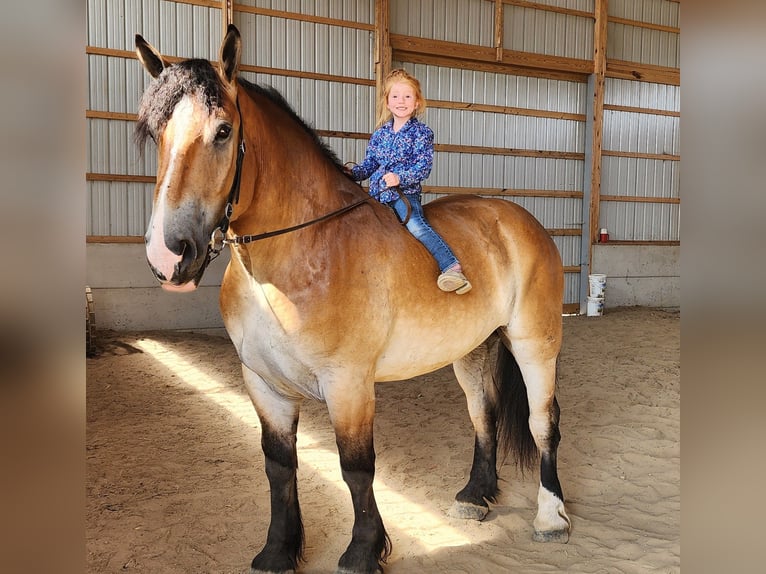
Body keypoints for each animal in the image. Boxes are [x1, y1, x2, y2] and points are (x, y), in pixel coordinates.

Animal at [136, 23, 568, 574]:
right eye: (156, 135)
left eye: (223, 132)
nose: (169, 254)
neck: (296, 257)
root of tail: (521, 222)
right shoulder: (263, 384)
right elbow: (279, 466)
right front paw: (278, 550)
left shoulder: (348, 384)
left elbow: (356, 468)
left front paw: (363, 552)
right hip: (473, 348)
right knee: (483, 414)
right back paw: (475, 495)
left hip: (535, 342)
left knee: (543, 422)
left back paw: (552, 517)